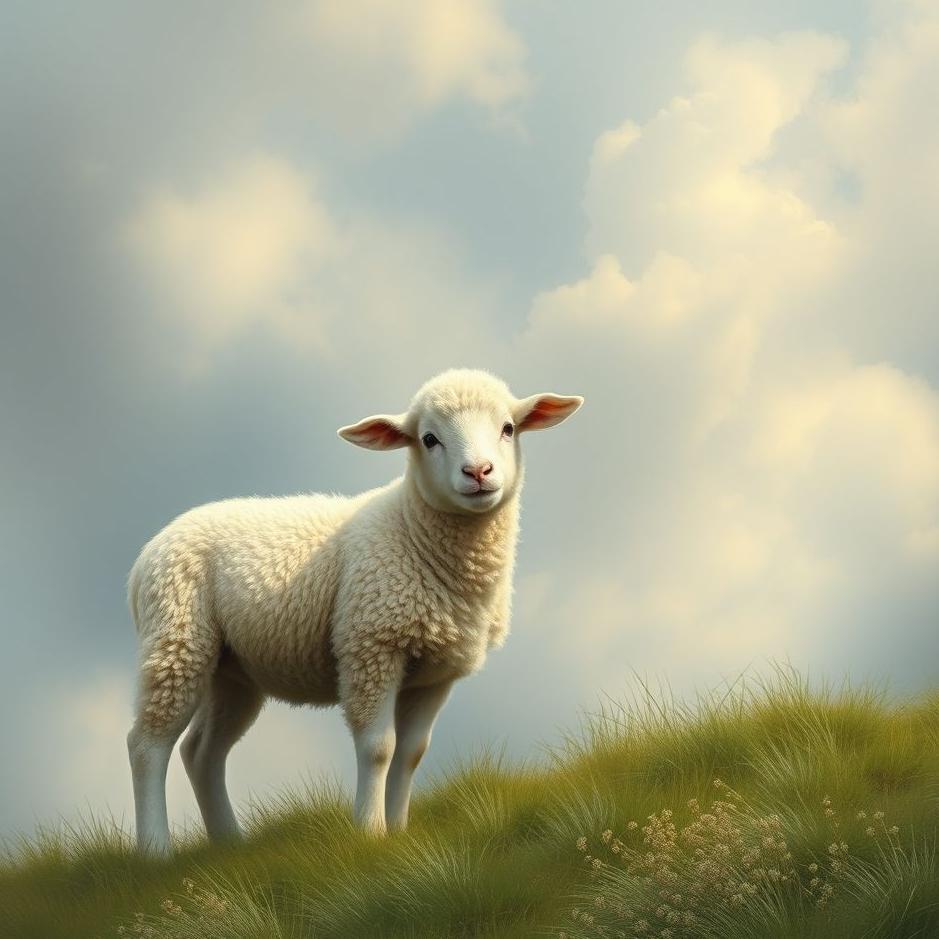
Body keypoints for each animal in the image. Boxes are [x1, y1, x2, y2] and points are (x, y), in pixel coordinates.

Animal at [126, 368, 583, 854]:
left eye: (508, 428)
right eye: (429, 439)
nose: (478, 472)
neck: (413, 532)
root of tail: (146, 555)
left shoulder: (437, 673)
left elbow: (411, 753)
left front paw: (399, 831)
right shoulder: (371, 644)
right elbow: (378, 748)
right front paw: (368, 832)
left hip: (232, 670)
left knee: (202, 752)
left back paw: (230, 843)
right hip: (176, 638)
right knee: (148, 743)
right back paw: (155, 851)